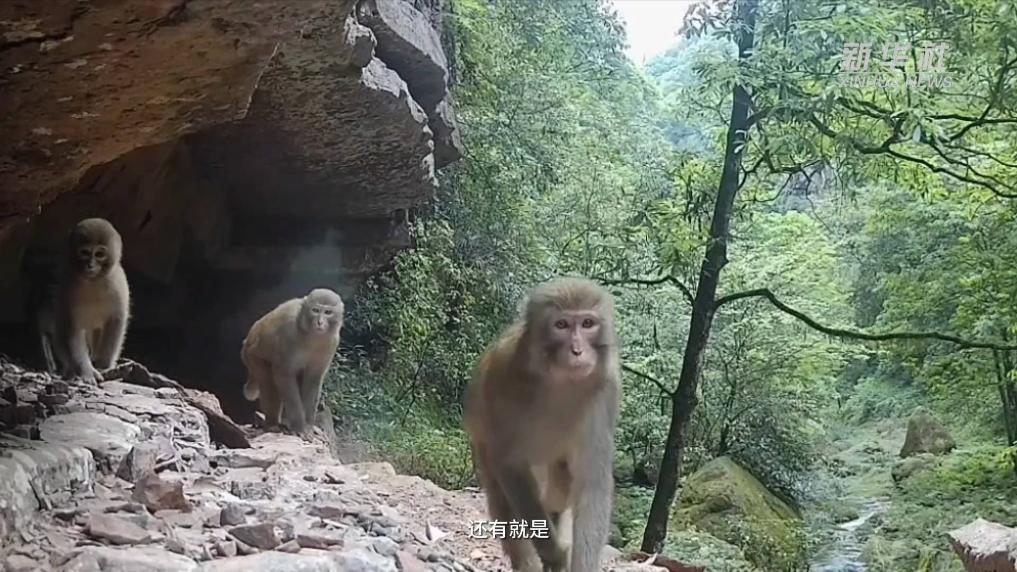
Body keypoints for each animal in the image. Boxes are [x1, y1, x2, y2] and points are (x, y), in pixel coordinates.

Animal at [46, 218, 131, 383]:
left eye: (99, 254)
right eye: (84, 253)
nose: (90, 265)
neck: (93, 281)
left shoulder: (119, 285)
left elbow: (116, 320)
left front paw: (104, 365)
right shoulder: (69, 290)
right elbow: (73, 329)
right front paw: (87, 371)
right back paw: (71, 371)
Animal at [241, 288, 344, 435]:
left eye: (328, 312)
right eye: (315, 310)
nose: (320, 322)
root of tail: (247, 341)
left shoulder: (332, 342)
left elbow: (313, 378)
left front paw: (308, 426)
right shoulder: (289, 333)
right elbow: (284, 374)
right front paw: (300, 427)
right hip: (252, 356)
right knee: (268, 382)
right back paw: (272, 424)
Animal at [463, 277, 620, 572]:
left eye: (587, 323)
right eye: (561, 325)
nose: (577, 351)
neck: (560, 379)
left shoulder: (605, 390)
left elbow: (592, 483)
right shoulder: (509, 381)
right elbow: (509, 463)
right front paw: (553, 554)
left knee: (562, 484)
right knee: (503, 497)